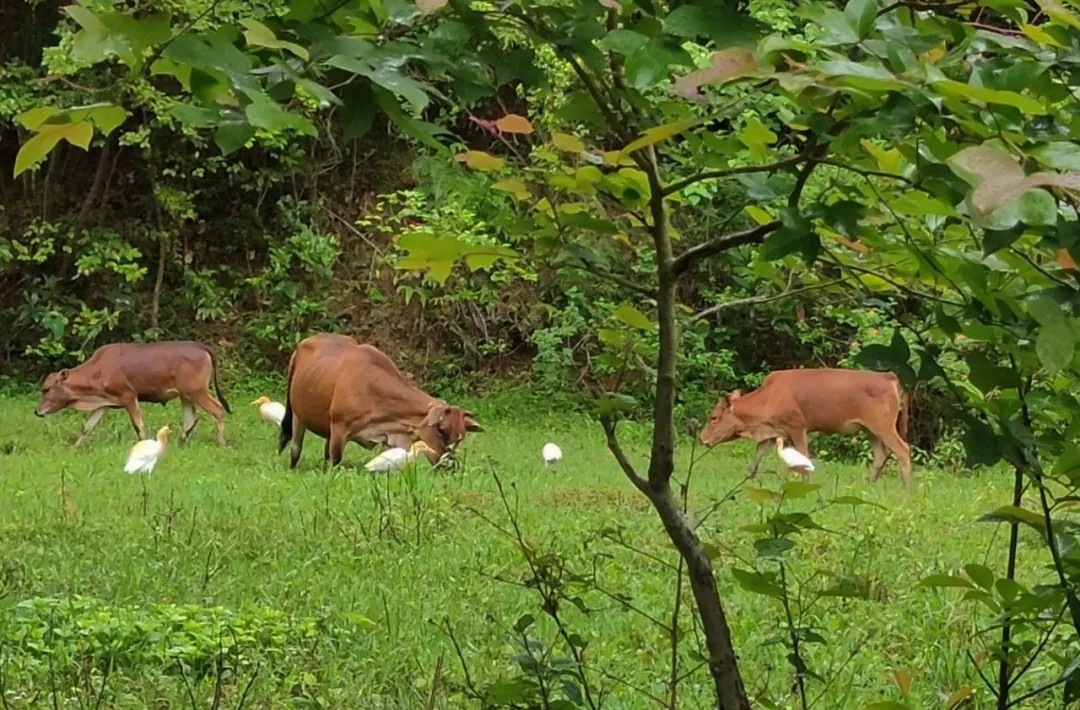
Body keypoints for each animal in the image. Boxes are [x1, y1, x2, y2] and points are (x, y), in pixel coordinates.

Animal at [35, 341, 232, 445]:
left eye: (46, 389)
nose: (37, 411)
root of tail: (201, 347)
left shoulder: (129, 396)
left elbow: (138, 425)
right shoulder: (104, 403)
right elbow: (87, 427)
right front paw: (76, 447)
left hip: (197, 391)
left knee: (218, 409)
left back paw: (221, 443)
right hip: (186, 395)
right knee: (190, 418)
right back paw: (180, 442)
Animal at [278, 332, 486, 469]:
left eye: (461, 436)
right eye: (441, 429)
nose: (450, 465)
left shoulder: (391, 436)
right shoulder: (339, 428)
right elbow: (335, 459)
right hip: (297, 414)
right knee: (295, 447)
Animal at [699, 367, 911, 484]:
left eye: (714, 417)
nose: (702, 438)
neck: (767, 398)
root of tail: (889, 377)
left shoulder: (798, 428)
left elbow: (804, 459)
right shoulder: (774, 433)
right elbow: (754, 462)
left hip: (883, 426)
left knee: (902, 450)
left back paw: (907, 490)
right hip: (870, 430)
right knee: (881, 455)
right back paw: (866, 484)